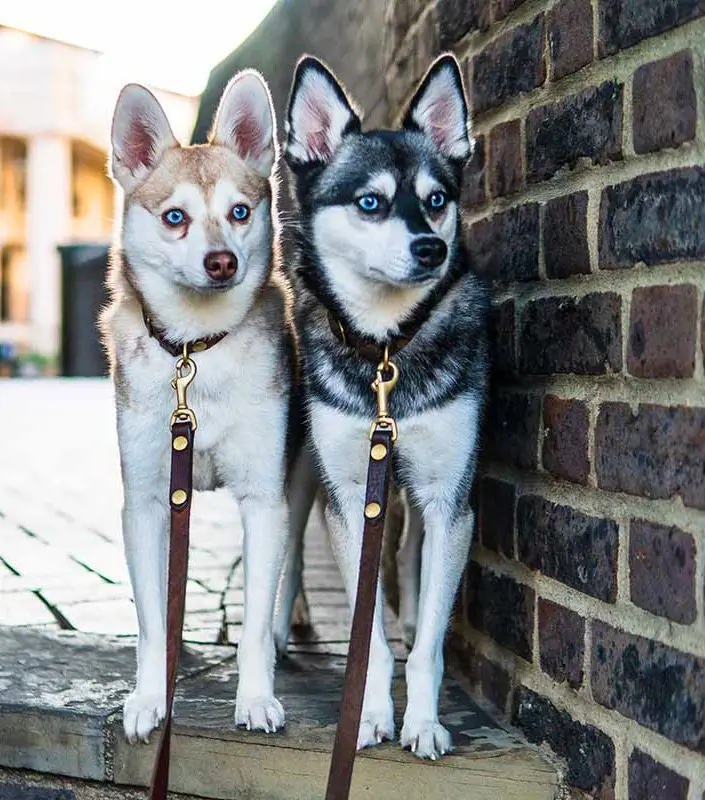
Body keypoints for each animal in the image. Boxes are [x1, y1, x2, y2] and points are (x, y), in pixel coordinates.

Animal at [100, 72, 302, 748]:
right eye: (175, 218)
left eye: (240, 212)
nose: (222, 261)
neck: (197, 349)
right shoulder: (146, 502)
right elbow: (151, 616)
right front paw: (149, 696)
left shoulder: (266, 500)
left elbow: (256, 617)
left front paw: (257, 698)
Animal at [278, 53, 486, 760]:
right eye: (370, 202)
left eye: (437, 199)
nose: (431, 248)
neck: (386, 352)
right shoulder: (348, 496)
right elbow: (366, 635)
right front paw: (368, 717)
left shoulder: (450, 497)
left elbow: (427, 643)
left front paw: (422, 721)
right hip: (303, 474)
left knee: (410, 560)